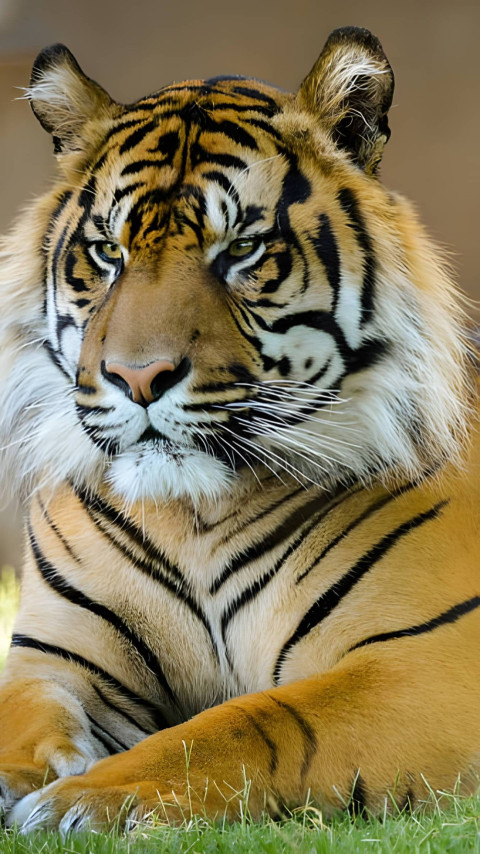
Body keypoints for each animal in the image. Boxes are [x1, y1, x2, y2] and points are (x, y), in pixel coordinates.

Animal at [0, 24, 478, 832]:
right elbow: (16, 715)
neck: (192, 514)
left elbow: (251, 723)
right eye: (108, 252)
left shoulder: (424, 660)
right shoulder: (53, 655)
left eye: (243, 250)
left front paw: (83, 799)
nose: (138, 377)